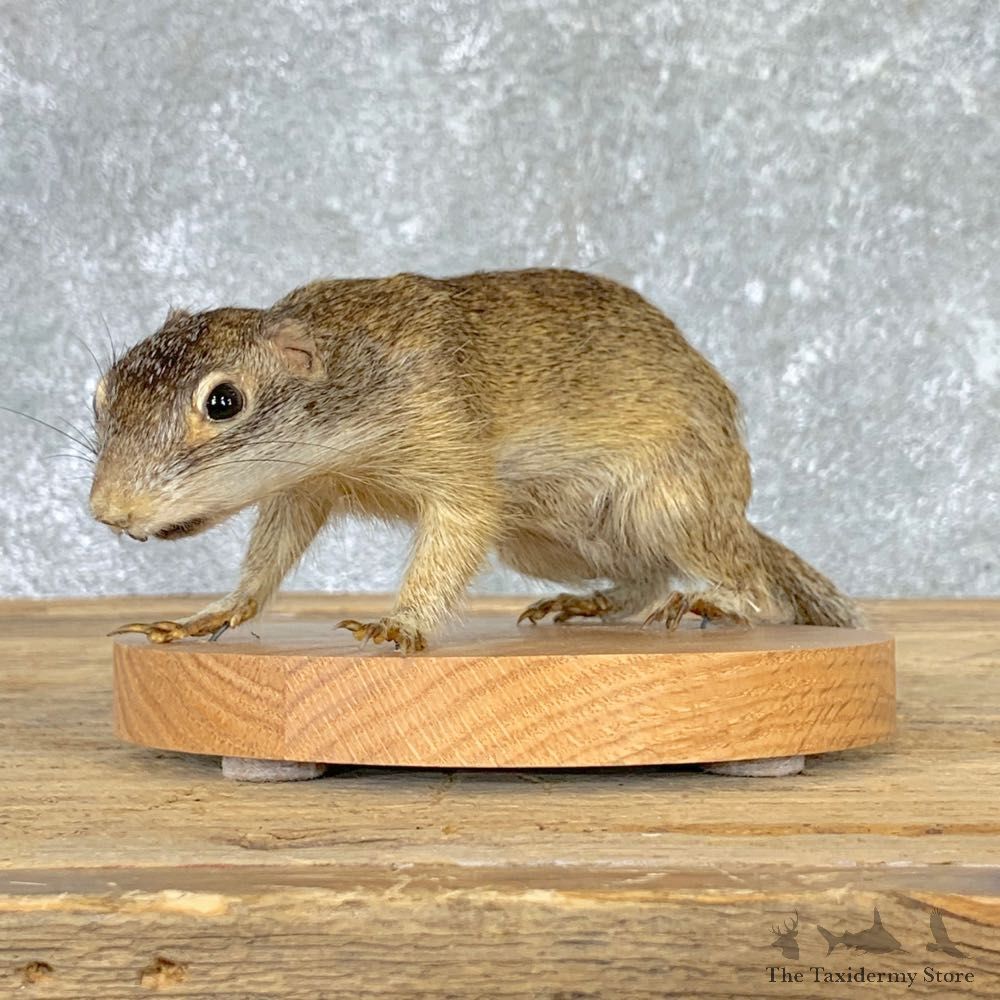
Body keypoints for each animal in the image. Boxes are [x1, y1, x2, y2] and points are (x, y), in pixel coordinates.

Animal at [90, 268, 861, 652]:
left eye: (223, 402)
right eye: (99, 395)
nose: (106, 512)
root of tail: (734, 507)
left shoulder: (454, 463)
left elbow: (455, 533)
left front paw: (401, 623)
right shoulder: (305, 487)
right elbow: (265, 565)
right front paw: (206, 617)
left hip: (668, 505)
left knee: (757, 592)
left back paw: (714, 600)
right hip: (549, 544)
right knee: (643, 581)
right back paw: (589, 604)